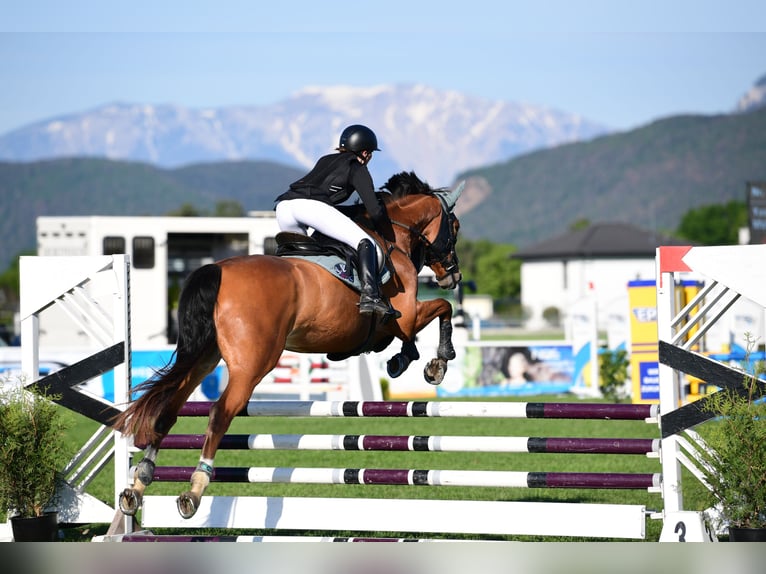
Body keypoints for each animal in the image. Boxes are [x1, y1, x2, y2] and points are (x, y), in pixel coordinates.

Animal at [111, 172, 464, 520]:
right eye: (455, 226)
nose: (454, 276)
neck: (392, 239)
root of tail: (217, 270)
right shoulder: (406, 315)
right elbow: (441, 310)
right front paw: (437, 364)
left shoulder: (392, 325)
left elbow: (409, 336)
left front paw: (403, 360)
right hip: (253, 363)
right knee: (220, 412)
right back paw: (195, 488)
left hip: (204, 356)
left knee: (169, 408)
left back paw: (138, 483)